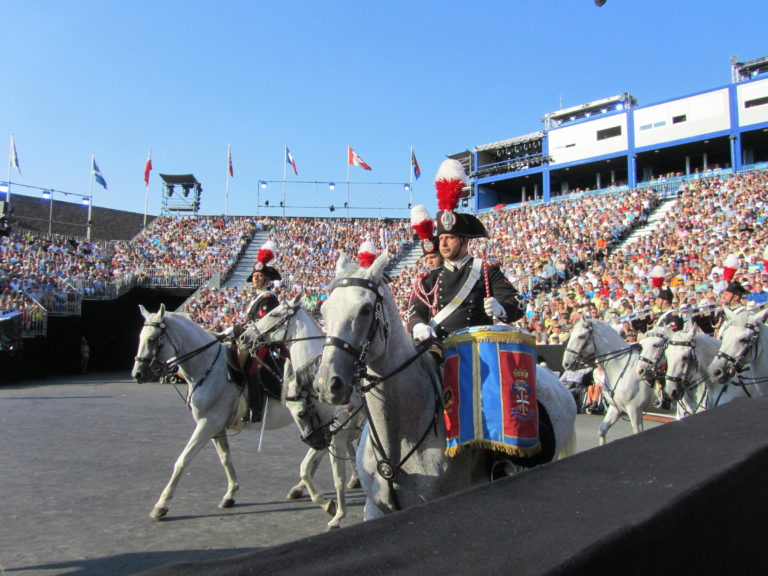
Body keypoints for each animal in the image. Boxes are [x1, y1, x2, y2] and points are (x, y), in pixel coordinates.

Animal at [244, 294, 368, 528]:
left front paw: (338, 515)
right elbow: (305, 468)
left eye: (273, 313)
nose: (244, 338)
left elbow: (337, 477)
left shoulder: (335, 435)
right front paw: (326, 504)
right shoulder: (325, 432)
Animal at [314, 254, 576, 520]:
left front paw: (495, 306)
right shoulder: (375, 508)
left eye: (365, 309)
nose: (327, 383)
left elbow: (513, 301)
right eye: (324, 310)